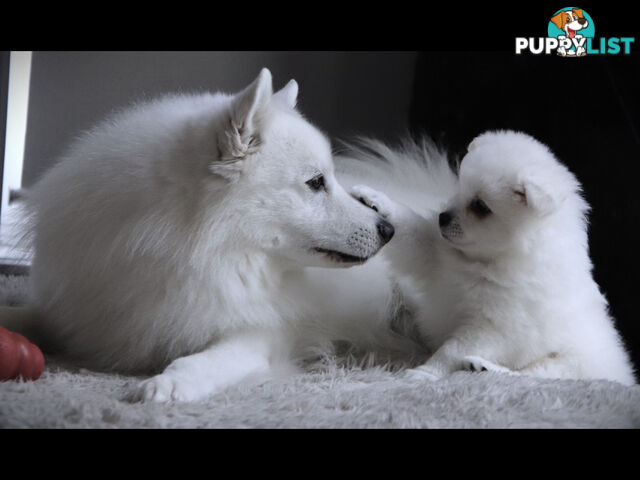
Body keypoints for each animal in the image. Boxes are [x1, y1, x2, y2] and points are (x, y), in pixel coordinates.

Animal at [352, 129, 636, 384]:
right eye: (460, 190)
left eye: (480, 206)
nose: (442, 218)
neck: (487, 262)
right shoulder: (435, 257)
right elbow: (408, 227)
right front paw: (374, 198)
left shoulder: (492, 328)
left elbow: (450, 350)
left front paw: (424, 373)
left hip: (570, 362)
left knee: (535, 374)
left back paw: (484, 367)